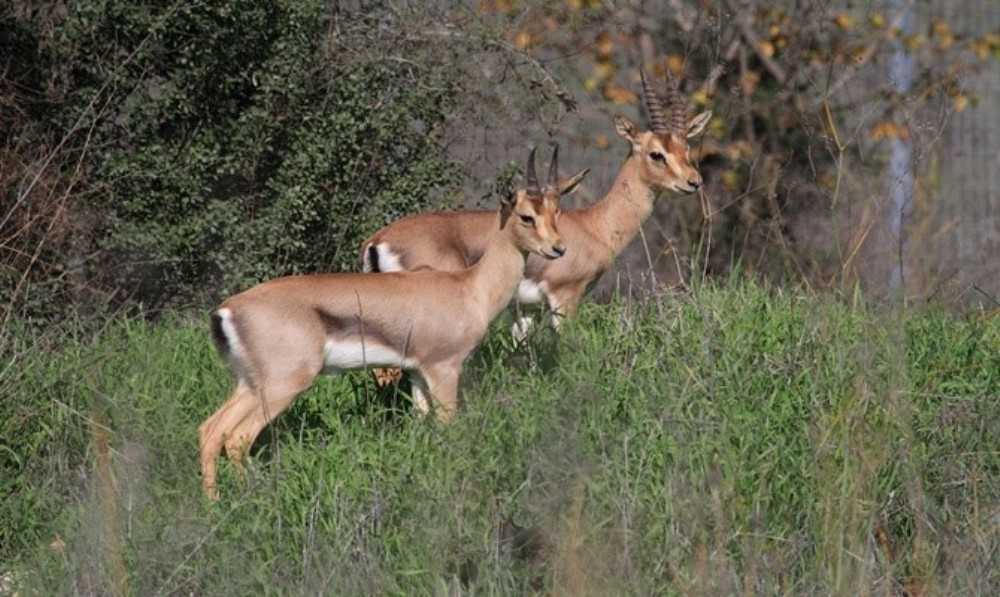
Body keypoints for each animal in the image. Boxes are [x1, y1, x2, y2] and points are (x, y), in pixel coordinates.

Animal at [199, 147, 578, 499]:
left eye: (556, 210)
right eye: (526, 216)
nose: (559, 249)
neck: (470, 288)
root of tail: (226, 311)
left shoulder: (417, 373)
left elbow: (422, 423)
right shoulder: (444, 369)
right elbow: (448, 426)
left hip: (249, 384)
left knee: (211, 431)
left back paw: (214, 504)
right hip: (281, 385)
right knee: (237, 438)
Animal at [361, 68, 711, 340]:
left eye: (686, 147)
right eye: (656, 154)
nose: (694, 181)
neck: (594, 225)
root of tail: (378, 241)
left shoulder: (528, 308)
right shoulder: (564, 298)